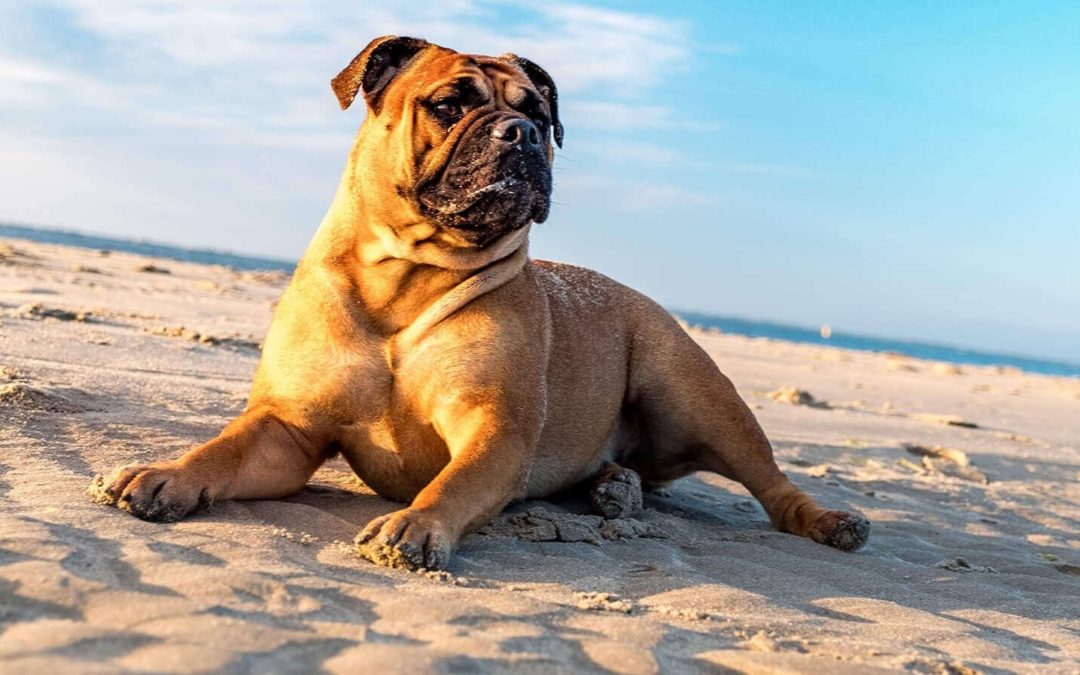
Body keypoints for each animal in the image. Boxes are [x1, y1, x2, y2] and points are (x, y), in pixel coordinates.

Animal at [90, 34, 868, 565]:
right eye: (449, 104)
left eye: (540, 114)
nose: (521, 132)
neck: (405, 280)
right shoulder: (289, 428)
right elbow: (222, 450)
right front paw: (169, 474)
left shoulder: (493, 430)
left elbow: (453, 484)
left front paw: (416, 524)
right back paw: (612, 487)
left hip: (696, 394)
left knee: (772, 484)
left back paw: (826, 521)